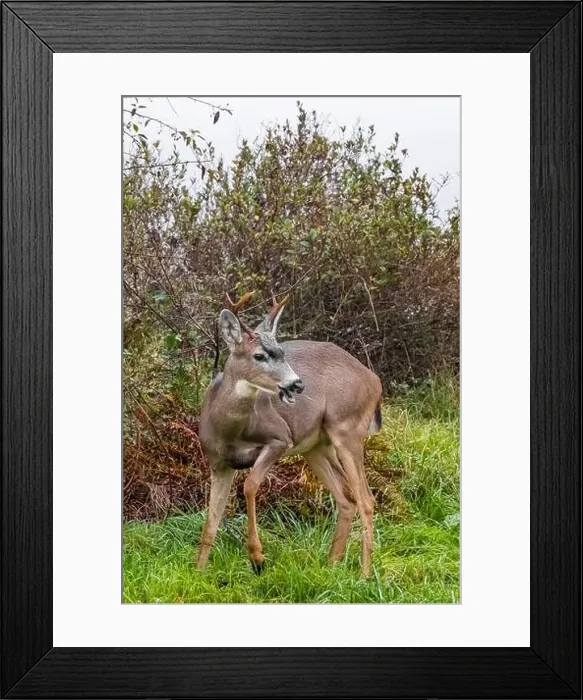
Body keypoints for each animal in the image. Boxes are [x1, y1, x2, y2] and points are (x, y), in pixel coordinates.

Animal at [196, 294, 383, 577]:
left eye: (282, 353)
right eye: (259, 355)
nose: (297, 384)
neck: (229, 430)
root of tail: (375, 380)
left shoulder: (280, 438)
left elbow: (249, 485)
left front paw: (257, 557)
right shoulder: (218, 463)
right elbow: (211, 521)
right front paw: (198, 572)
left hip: (347, 428)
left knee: (367, 499)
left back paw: (364, 575)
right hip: (315, 446)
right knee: (346, 497)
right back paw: (331, 566)